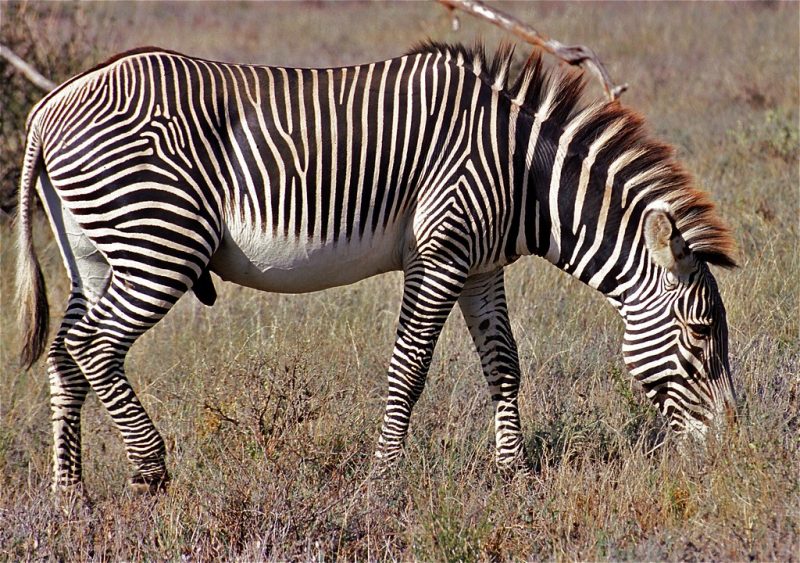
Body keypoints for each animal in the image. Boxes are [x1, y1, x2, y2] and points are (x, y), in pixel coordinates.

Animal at [16, 42, 738, 495]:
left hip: (95, 251)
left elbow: (504, 364)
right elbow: (409, 369)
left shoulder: (481, 266)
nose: (729, 449)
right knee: (94, 345)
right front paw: (383, 479)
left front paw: (514, 475)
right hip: (158, 240)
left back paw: (69, 495)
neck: (521, 171)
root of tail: (49, 107)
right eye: (701, 333)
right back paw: (149, 470)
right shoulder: (440, 253)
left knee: (65, 352)